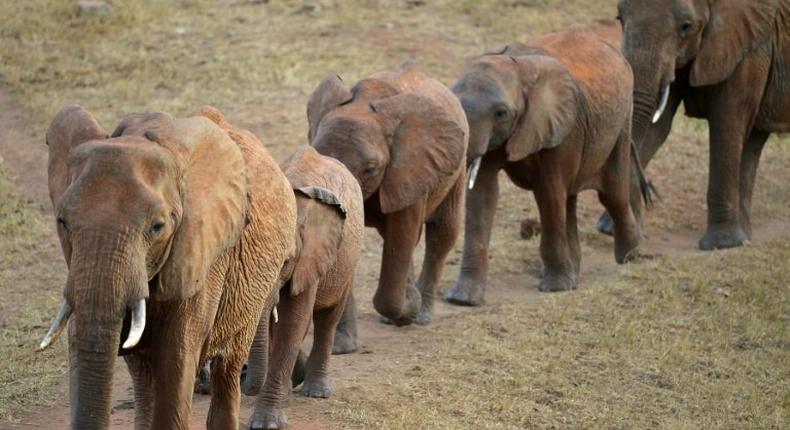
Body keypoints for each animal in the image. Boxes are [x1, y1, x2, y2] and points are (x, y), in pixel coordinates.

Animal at [38, 105, 296, 430]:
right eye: (62, 222)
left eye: (157, 227)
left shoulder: (204, 254)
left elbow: (176, 357)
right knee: (143, 376)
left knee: (228, 367)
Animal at [246, 146, 366, 428]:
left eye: (285, 262)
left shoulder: (309, 258)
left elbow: (293, 322)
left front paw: (266, 423)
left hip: (346, 263)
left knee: (327, 319)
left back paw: (316, 391)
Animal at [306, 61, 470, 326]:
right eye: (319, 156)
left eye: (371, 169)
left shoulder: (409, 169)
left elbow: (403, 231)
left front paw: (410, 307)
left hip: (456, 164)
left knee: (442, 230)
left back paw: (420, 314)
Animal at [446, 25, 648, 302]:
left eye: (501, 113)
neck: (518, 67)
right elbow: (483, 194)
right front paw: (462, 299)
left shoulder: (563, 126)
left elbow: (550, 192)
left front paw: (555, 288)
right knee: (569, 198)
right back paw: (576, 273)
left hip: (622, 120)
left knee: (611, 193)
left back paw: (628, 255)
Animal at [600, 0, 790, 249]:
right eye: (619, 18)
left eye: (686, 26)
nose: (649, 192)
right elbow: (658, 125)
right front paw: (612, 230)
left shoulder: (750, 48)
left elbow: (726, 120)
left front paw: (721, 243)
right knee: (754, 143)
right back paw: (745, 237)